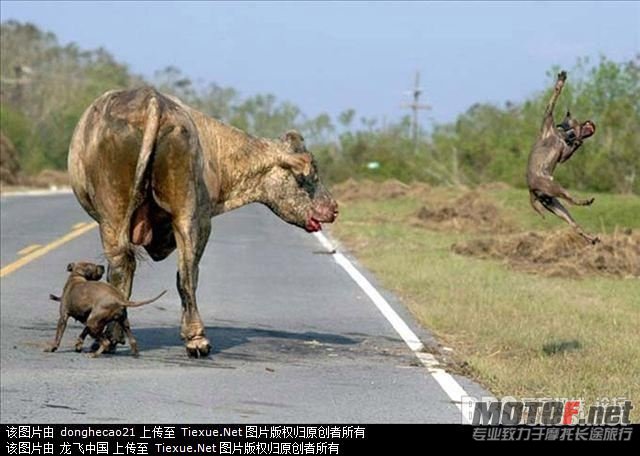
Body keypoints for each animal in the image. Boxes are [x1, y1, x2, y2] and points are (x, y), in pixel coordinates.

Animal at [67, 88, 340, 356]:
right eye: (311, 175)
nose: (335, 208)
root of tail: (152, 101)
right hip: (176, 215)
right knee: (179, 274)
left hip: (130, 215)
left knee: (141, 270)